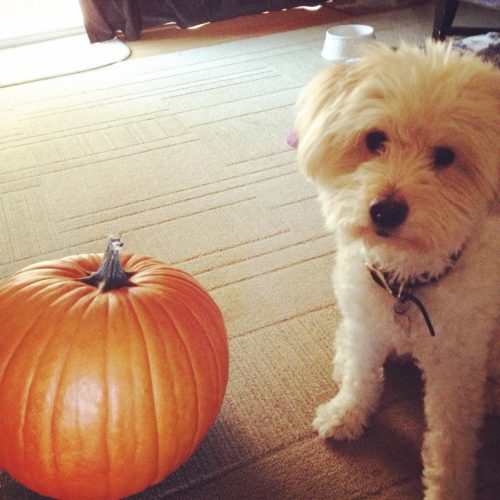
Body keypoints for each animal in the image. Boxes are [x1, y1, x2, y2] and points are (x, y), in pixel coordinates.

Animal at [294, 41, 498, 498]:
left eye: (445, 156)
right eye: (374, 139)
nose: (385, 209)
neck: (406, 283)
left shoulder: (456, 364)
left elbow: (449, 437)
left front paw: (448, 487)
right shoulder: (366, 325)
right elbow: (360, 377)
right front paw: (346, 414)